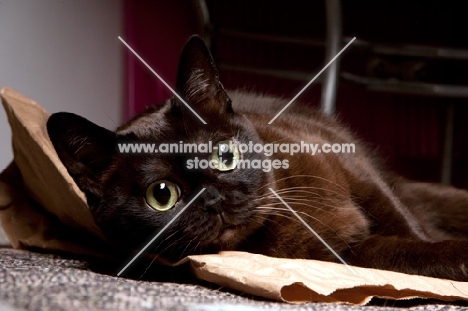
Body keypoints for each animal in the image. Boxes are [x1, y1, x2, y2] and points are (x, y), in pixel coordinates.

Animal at [45, 34, 468, 282]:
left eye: (224, 156)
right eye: (161, 195)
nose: (214, 200)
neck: (285, 217)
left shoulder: (359, 173)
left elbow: (407, 227)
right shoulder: (346, 251)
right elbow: (400, 252)